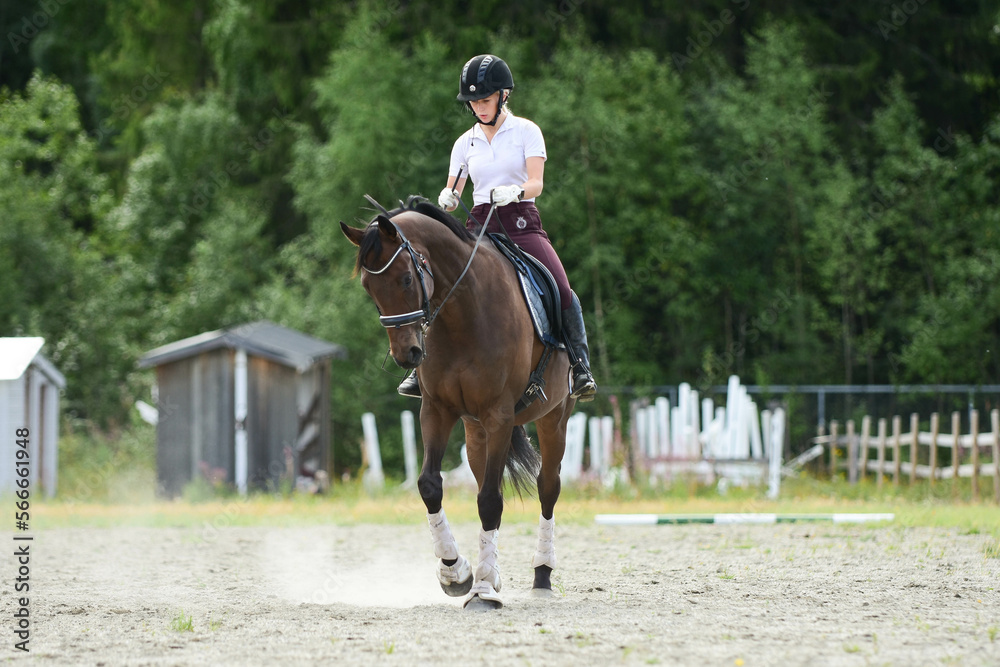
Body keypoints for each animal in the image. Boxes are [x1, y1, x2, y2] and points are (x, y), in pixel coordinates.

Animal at [340, 196, 576, 611]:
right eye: (369, 288)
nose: (406, 355)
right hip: (474, 429)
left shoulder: (499, 414)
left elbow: (491, 501)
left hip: (554, 419)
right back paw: (490, 570)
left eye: (405, 279)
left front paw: (482, 591)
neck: (463, 311)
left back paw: (542, 574)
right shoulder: (436, 410)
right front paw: (456, 573)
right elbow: (430, 486)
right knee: (485, 477)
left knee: (547, 486)